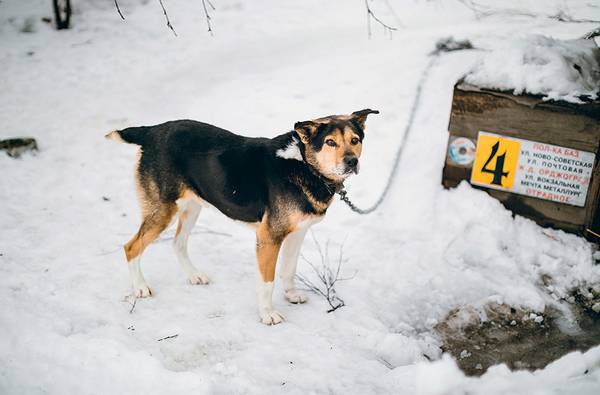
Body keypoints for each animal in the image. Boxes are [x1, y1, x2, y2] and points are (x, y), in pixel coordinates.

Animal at [105, 109, 378, 324]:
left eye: (355, 140)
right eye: (330, 142)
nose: (352, 161)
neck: (304, 165)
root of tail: (152, 131)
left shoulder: (298, 233)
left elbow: (288, 269)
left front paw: (291, 295)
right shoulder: (268, 238)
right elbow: (267, 282)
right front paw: (267, 314)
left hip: (192, 206)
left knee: (178, 243)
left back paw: (194, 275)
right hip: (163, 210)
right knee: (131, 247)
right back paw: (140, 287)